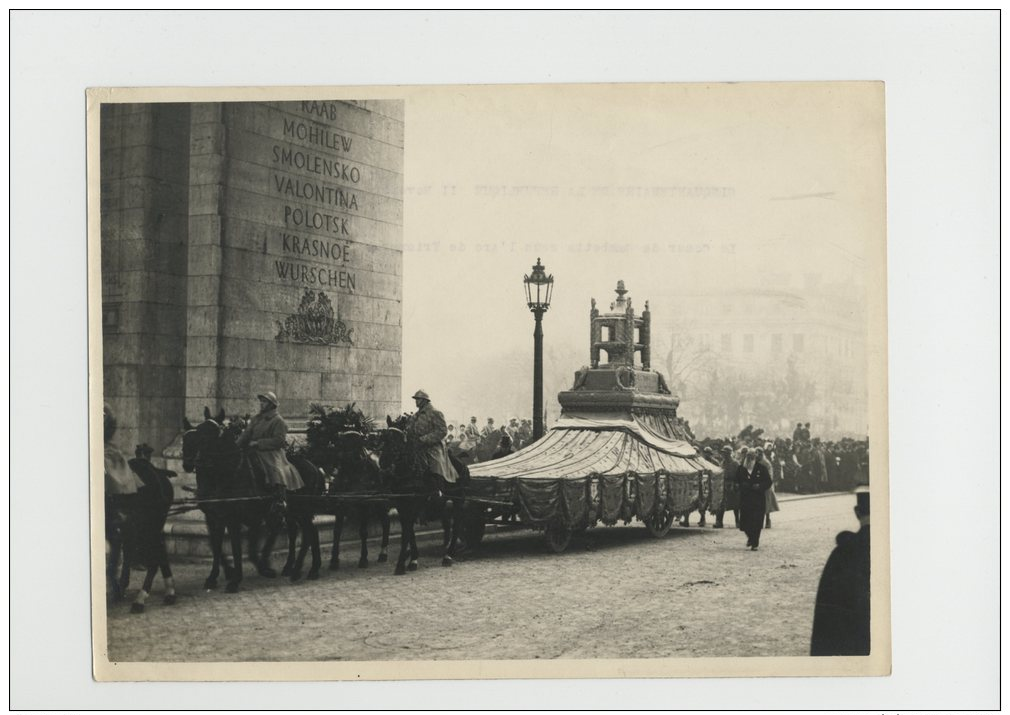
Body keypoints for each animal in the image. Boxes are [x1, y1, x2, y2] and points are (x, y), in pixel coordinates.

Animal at [181, 407, 288, 593]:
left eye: (213, 434)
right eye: (186, 439)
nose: (190, 463)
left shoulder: (233, 519)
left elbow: (236, 548)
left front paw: (235, 579)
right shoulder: (213, 518)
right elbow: (216, 546)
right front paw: (214, 577)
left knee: (275, 530)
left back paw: (267, 565)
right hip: (258, 513)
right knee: (262, 535)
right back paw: (262, 565)